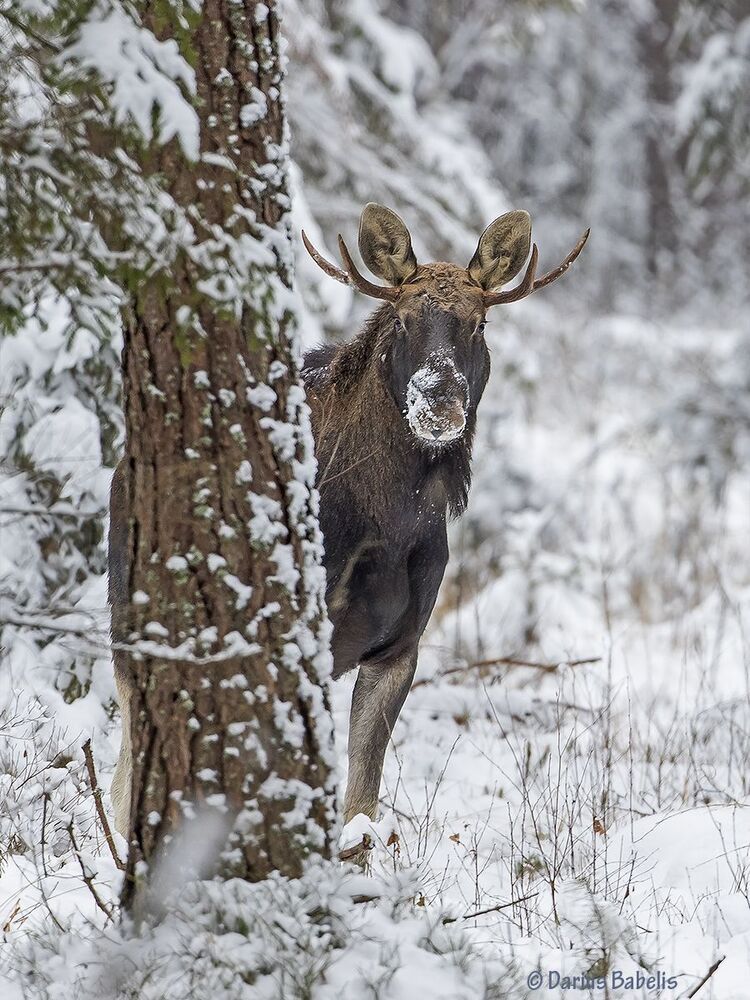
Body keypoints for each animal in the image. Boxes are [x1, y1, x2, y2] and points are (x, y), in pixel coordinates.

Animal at [108, 202, 588, 837]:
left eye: (479, 324)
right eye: (403, 321)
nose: (438, 402)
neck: (392, 520)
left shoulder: (399, 647)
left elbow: (361, 798)